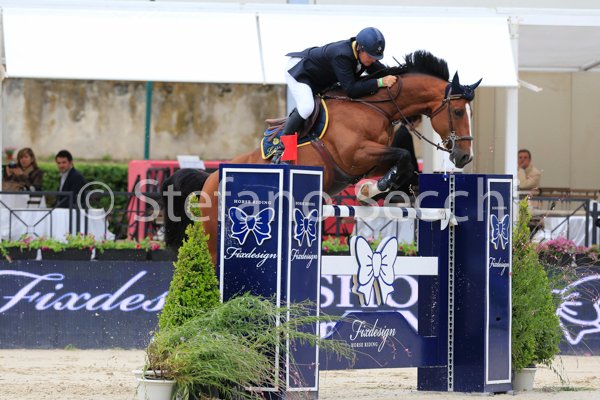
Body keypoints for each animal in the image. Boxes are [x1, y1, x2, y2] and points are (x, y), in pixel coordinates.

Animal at [162, 50, 482, 264]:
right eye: (457, 112)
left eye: (471, 113)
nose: (464, 157)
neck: (376, 107)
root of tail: (209, 177)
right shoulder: (356, 154)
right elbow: (402, 155)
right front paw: (373, 189)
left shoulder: (372, 159)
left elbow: (405, 166)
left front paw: (378, 189)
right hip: (215, 239)